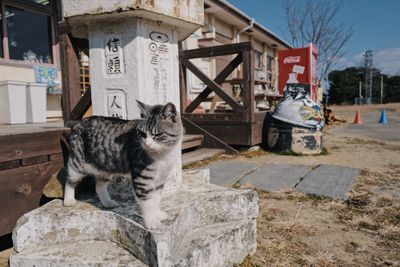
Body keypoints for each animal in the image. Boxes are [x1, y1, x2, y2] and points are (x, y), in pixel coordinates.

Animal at [63, 101, 182, 229]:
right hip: (78, 163)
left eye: (158, 134)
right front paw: (152, 221)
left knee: (99, 186)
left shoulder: (160, 178)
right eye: (142, 134)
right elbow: (148, 202)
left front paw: (158, 214)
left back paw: (107, 202)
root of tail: (79, 122)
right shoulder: (142, 178)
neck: (163, 155)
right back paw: (68, 200)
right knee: (70, 180)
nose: (147, 144)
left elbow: (156, 199)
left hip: (106, 166)